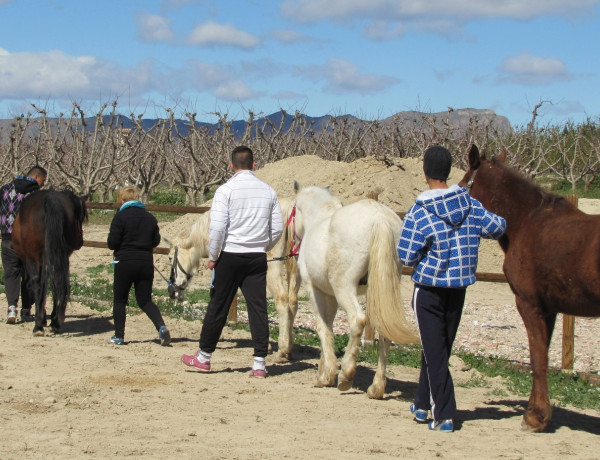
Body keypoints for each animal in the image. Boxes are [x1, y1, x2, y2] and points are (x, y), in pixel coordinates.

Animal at [11, 189, 88, 336]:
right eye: (80, 217)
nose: (80, 241)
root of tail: (49, 199)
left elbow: (41, 285)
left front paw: (41, 319)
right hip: (59, 255)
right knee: (58, 282)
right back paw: (55, 322)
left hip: (34, 257)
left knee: (37, 284)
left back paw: (39, 326)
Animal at [163, 198, 300, 362]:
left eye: (170, 258)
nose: (173, 290)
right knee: (292, 302)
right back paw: (290, 349)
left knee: (282, 300)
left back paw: (282, 350)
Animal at [292, 182, 418, 398]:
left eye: (293, 210)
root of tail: (379, 217)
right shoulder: (330, 294)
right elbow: (329, 327)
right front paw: (325, 371)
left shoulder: (315, 290)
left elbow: (323, 327)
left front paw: (326, 376)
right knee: (384, 331)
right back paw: (376, 388)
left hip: (344, 288)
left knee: (357, 320)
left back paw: (346, 375)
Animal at [460, 146, 600, 434]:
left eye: (463, 184)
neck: (525, 221)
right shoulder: (549, 310)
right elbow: (542, 355)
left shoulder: (529, 305)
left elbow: (537, 359)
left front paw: (535, 417)